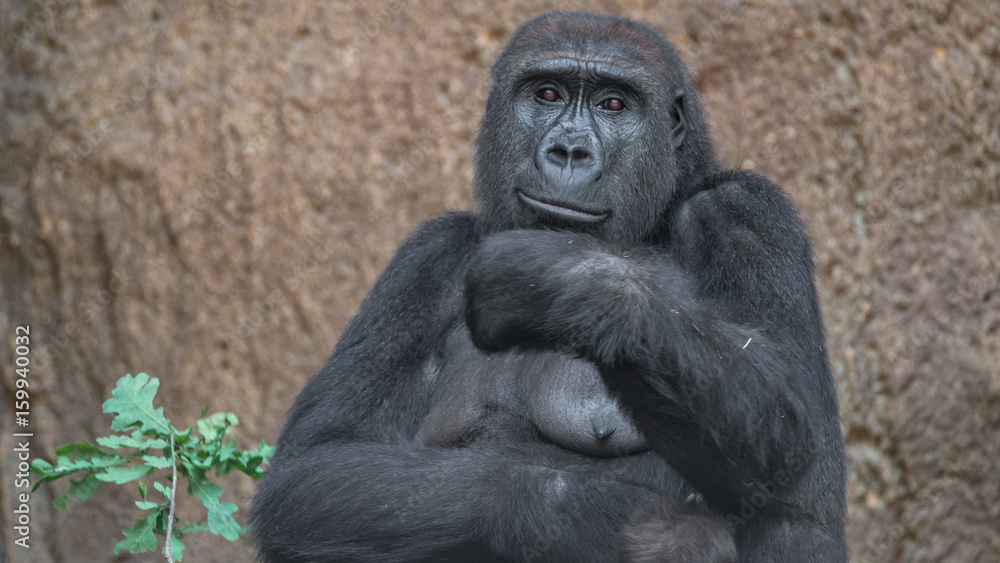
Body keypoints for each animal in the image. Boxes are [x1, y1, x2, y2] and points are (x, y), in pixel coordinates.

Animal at [250, 9, 844, 563]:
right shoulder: (428, 257)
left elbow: (788, 451)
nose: (569, 151)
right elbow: (313, 469)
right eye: (548, 93)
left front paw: (559, 278)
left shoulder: (745, 215)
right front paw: (586, 514)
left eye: (613, 105)